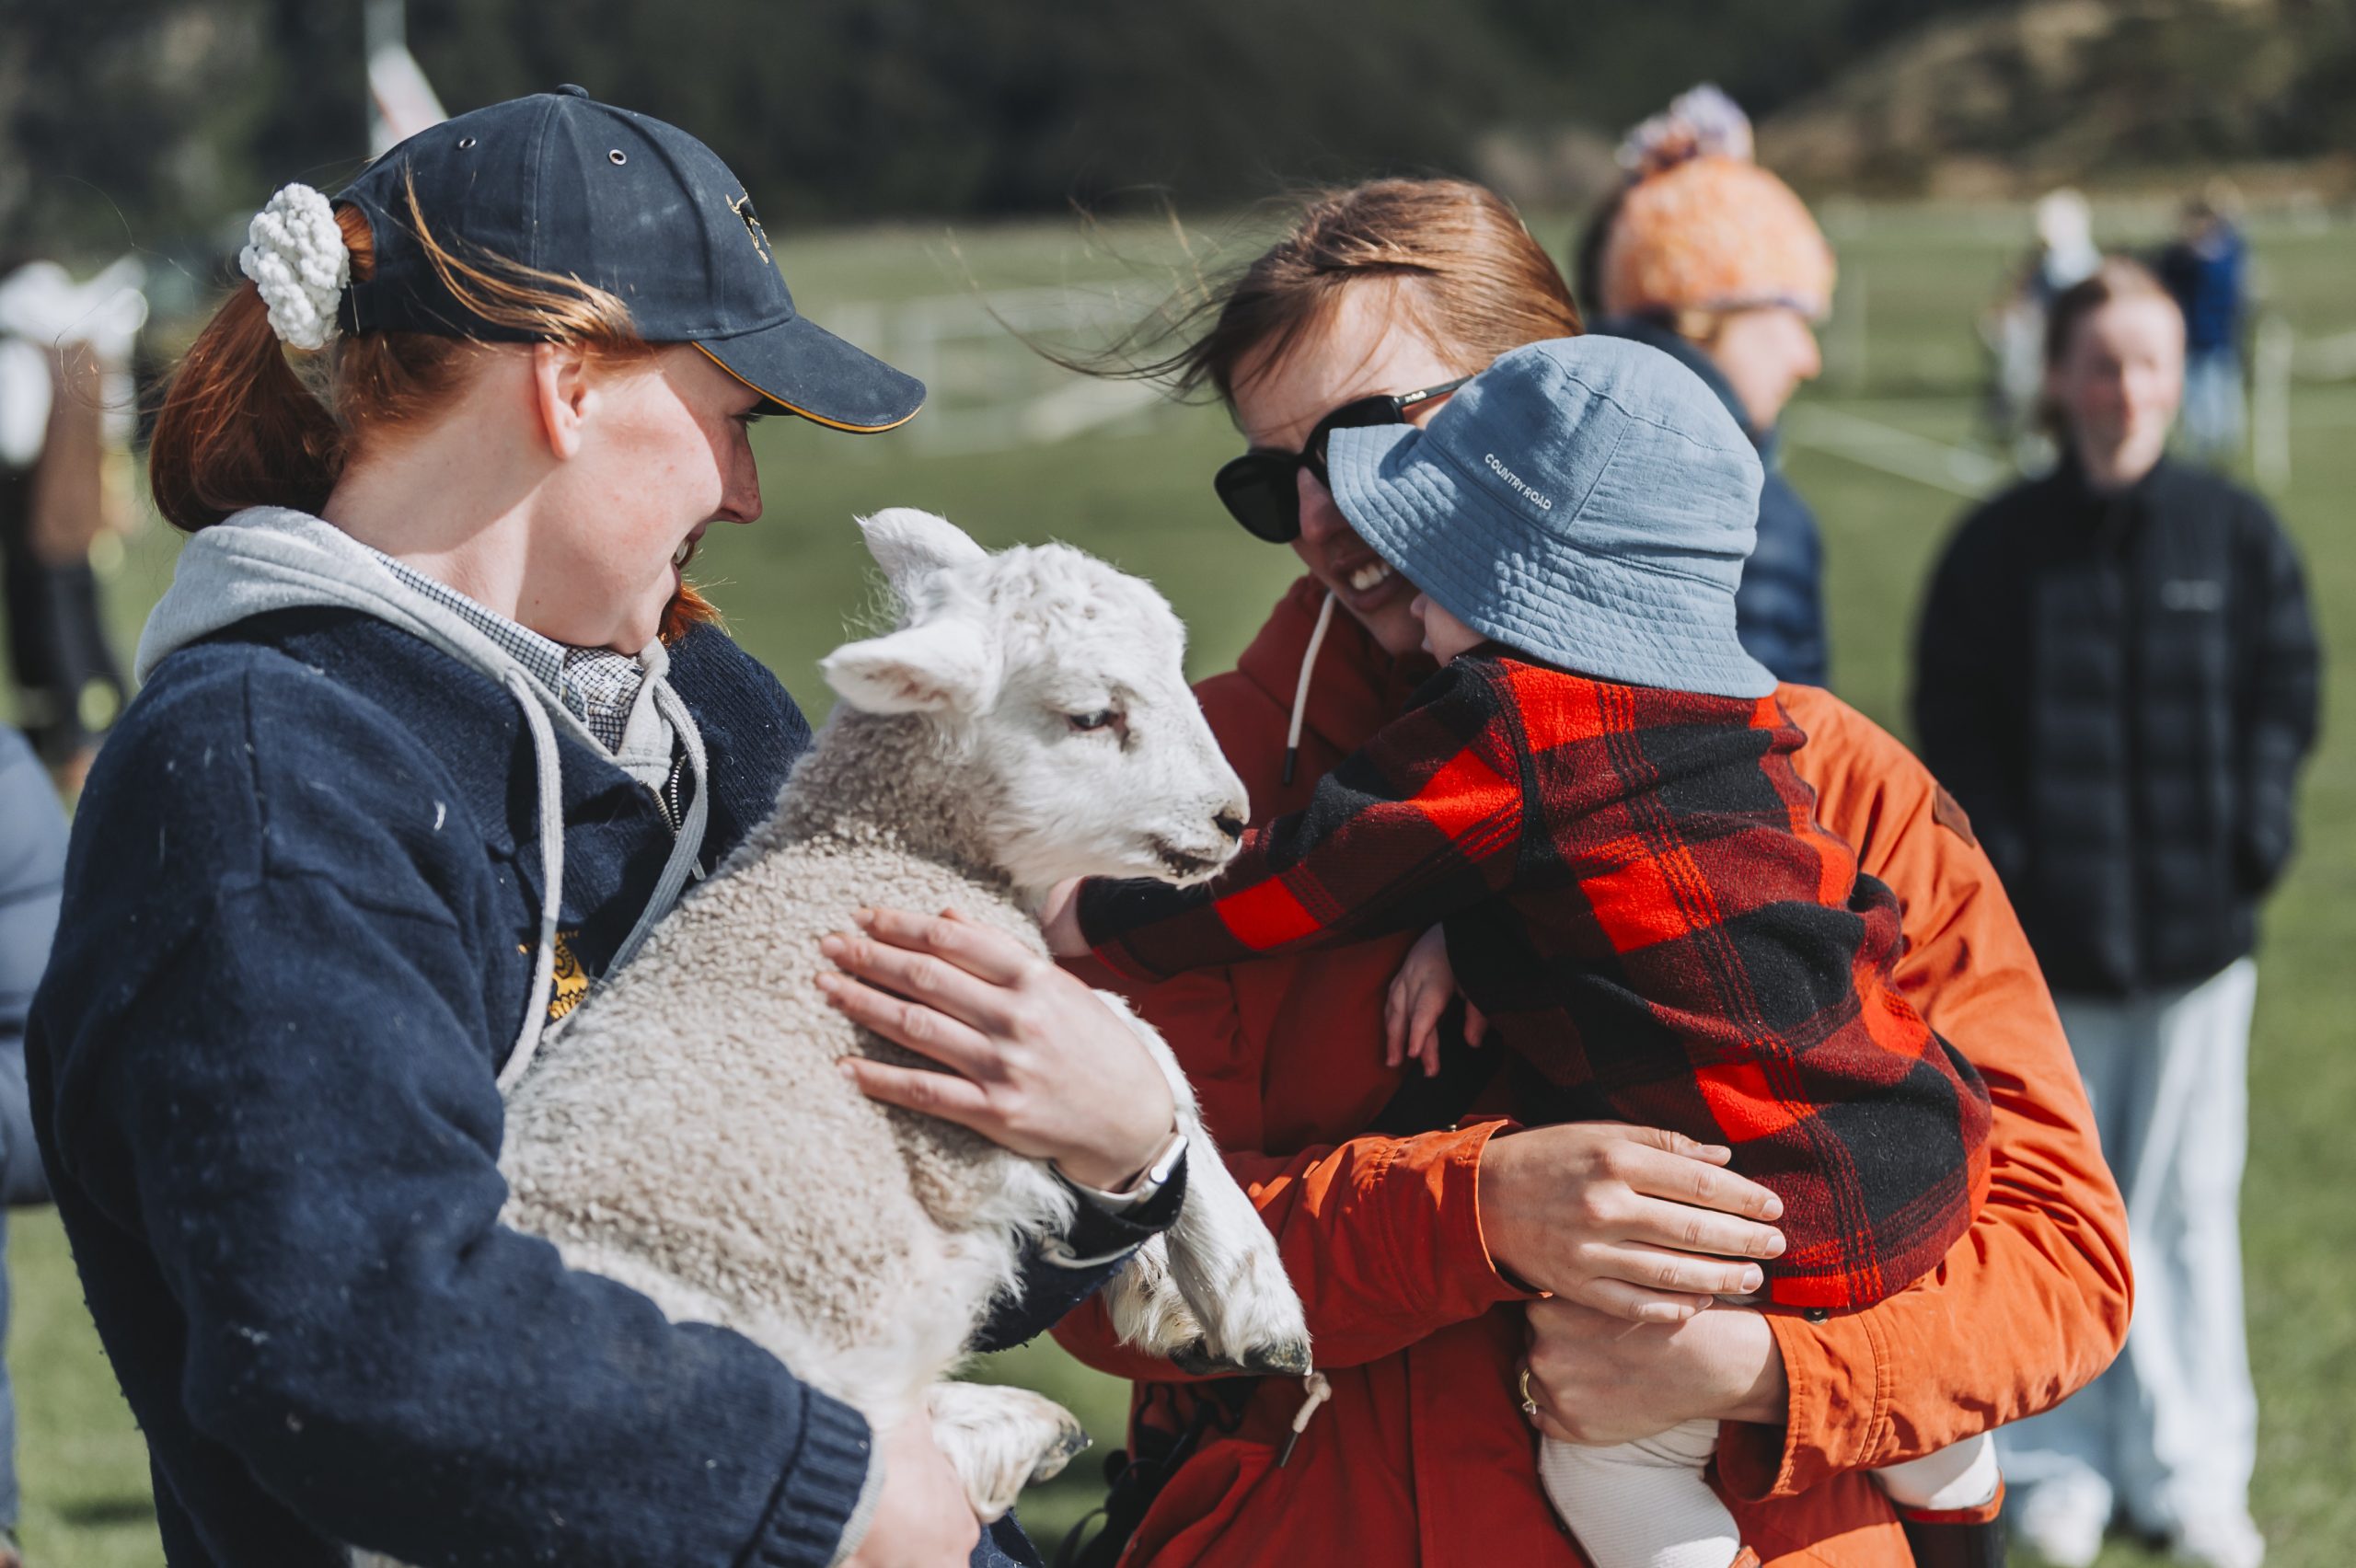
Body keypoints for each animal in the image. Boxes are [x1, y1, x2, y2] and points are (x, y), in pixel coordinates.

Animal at [471, 510, 1311, 1531]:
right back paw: (1001, 1436)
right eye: (1089, 716)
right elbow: (1142, 1040)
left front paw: (1167, 1290)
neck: (872, 855)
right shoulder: (950, 1086)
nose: (1230, 819)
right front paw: (1253, 1302)